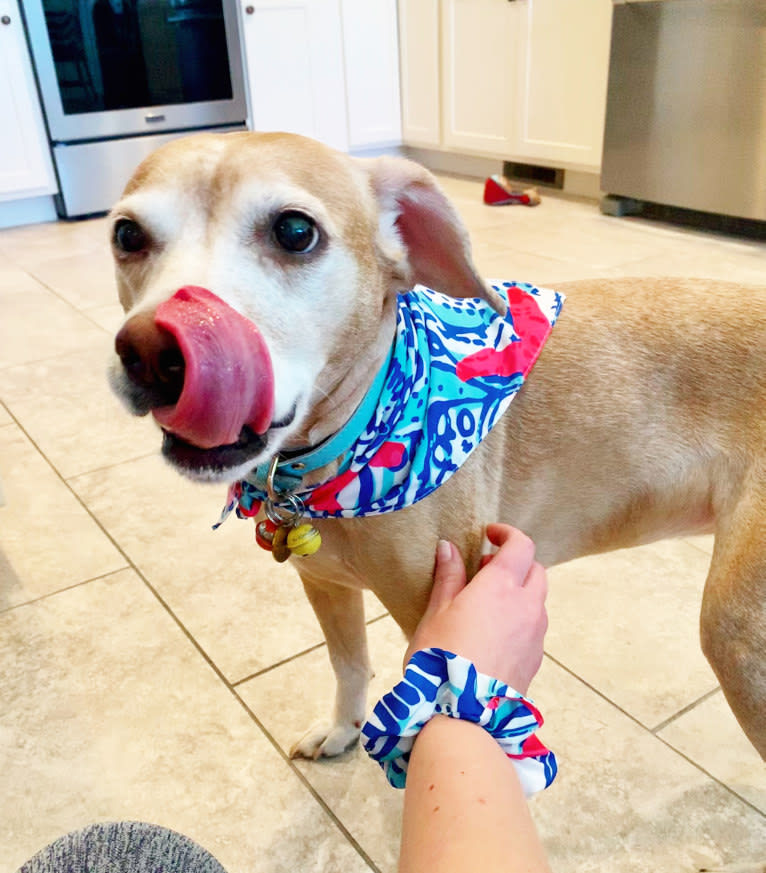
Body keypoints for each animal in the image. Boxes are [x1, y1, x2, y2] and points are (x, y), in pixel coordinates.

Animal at [108, 126, 766, 768]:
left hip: (737, 632)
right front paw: (342, 729)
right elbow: (348, 664)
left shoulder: (436, 616)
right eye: (126, 234)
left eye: (295, 231)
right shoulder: (325, 585)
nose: (151, 353)